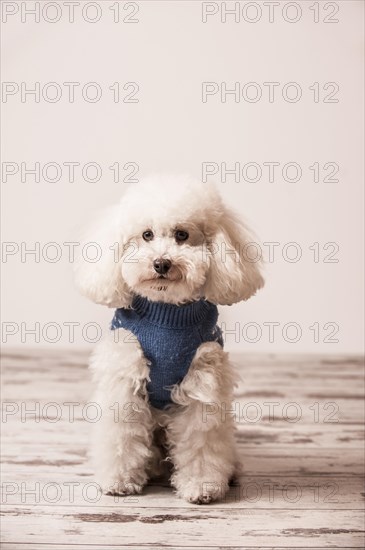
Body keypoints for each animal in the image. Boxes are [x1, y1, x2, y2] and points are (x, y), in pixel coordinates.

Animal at [75, 176, 264, 504]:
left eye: (182, 235)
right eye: (147, 235)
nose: (161, 263)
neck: (166, 314)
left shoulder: (202, 382)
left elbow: (201, 439)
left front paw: (201, 485)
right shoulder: (124, 379)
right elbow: (121, 433)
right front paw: (119, 480)